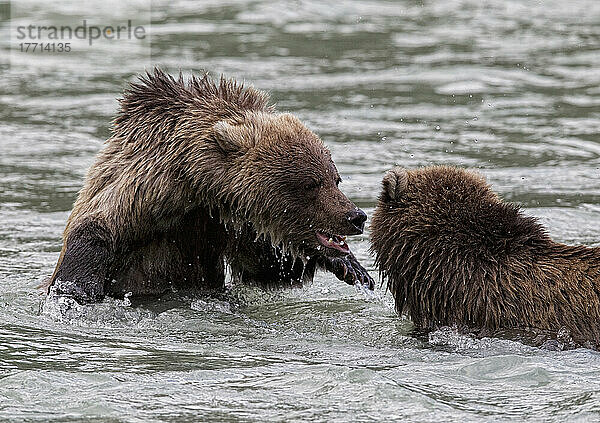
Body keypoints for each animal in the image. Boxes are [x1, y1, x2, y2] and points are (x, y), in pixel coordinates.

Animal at [48, 68, 376, 304]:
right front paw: (76, 292)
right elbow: (93, 239)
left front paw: (351, 266)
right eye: (311, 184)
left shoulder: (225, 225)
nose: (356, 216)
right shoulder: (139, 203)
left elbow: (267, 266)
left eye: (335, 178)